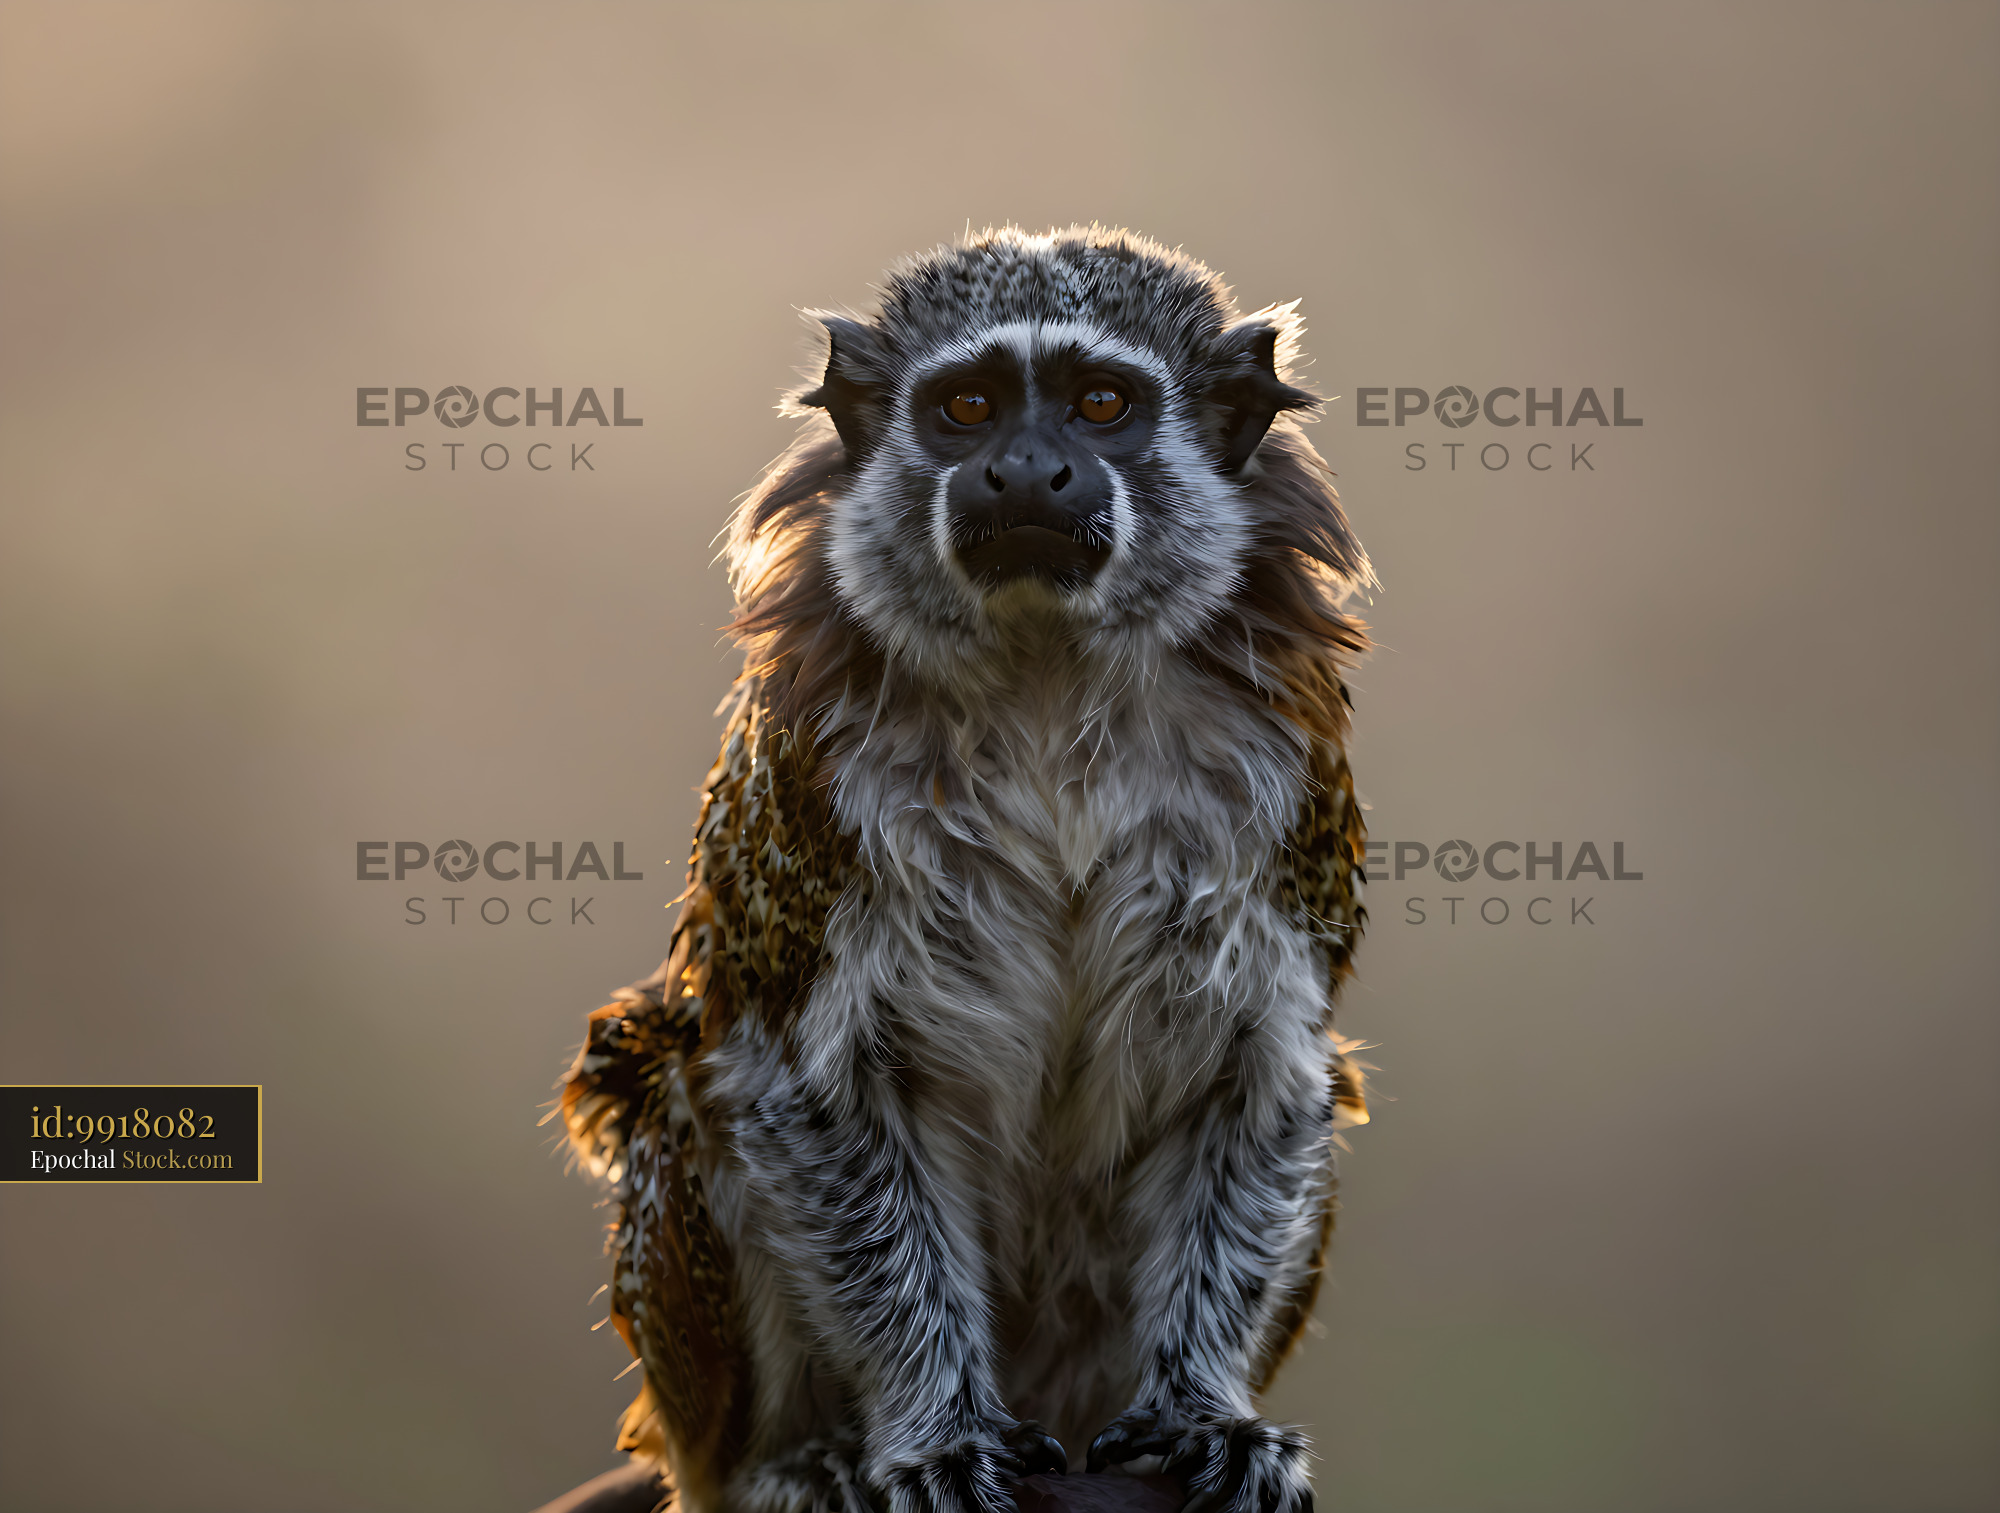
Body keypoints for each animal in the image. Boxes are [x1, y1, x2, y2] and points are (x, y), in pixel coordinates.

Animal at [560, 226, 1373, 1513]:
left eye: (1100, 405)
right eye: (968, 407)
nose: (1026, 470)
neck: (1046, 677)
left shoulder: (1291, 783)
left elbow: (1256, 1077)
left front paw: (1203, 1412)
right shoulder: (808, 785)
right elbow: (807, 1084)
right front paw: (937, 1432)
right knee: (679, 1077)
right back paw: (792, 1459)